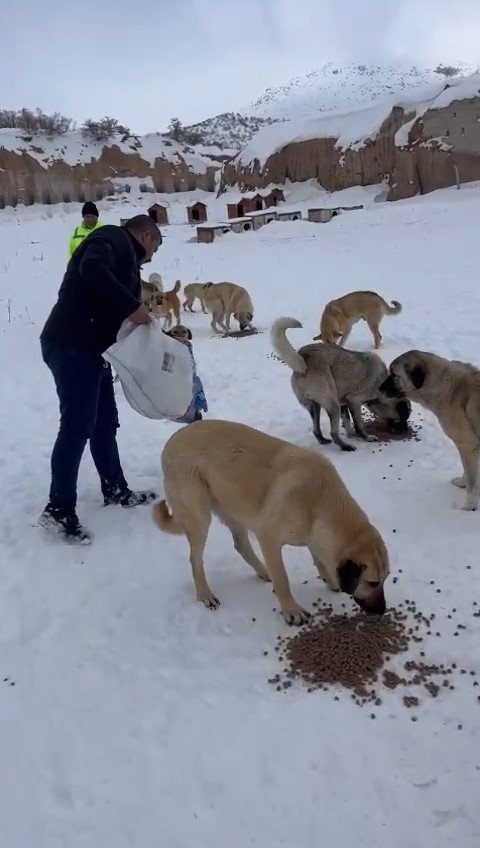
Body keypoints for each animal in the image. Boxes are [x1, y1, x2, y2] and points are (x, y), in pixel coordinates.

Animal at [154, 420, 390, 624]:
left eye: (386, 579)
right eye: (372, 583)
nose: (382, 610)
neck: (320, 501)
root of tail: (171, 440)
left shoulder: (313, 537)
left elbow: (319, 559)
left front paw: (330, 582)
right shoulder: (268, 538)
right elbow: (284, 580)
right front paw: (292, 611)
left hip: (234, 507)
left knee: (240, 545)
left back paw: (264, 571)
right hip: (200, 517)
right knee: (195, 560)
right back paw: (205, 594)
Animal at [380, 352, 480, 510]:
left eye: (394, 374)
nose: (379, 388)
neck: (446, 387)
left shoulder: (468, 446)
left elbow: (471, 478)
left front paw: (470, 506)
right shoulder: (470, 448)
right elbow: (468, 471)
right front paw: (462, 483)